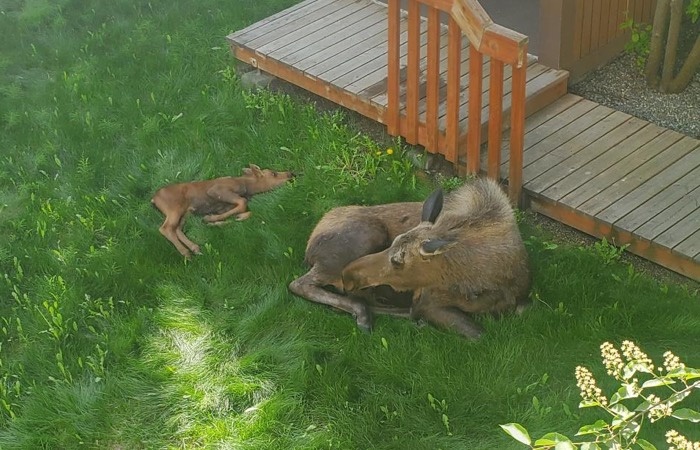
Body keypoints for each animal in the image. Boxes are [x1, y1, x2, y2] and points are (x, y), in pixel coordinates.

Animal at [152, 164, 294, 256]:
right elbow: (243, 203)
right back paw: (185, 252)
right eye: (274, 173)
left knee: (176, 228)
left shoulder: (224, 207)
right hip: (174, 208)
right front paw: (210, 219)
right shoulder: (217, 190)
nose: (291, 173)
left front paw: (220, 221)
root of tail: (154, 199)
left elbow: (246, 211)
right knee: (165, 228)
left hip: (186, 212)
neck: (247, 188)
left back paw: (195, 248)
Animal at [290, 178, 532, 340]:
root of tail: (310, 247)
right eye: (393, 244)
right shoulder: (429, 302)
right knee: (299, 284)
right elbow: (477, 333)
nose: (349, 275)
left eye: (398, 261)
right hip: (361, 240)